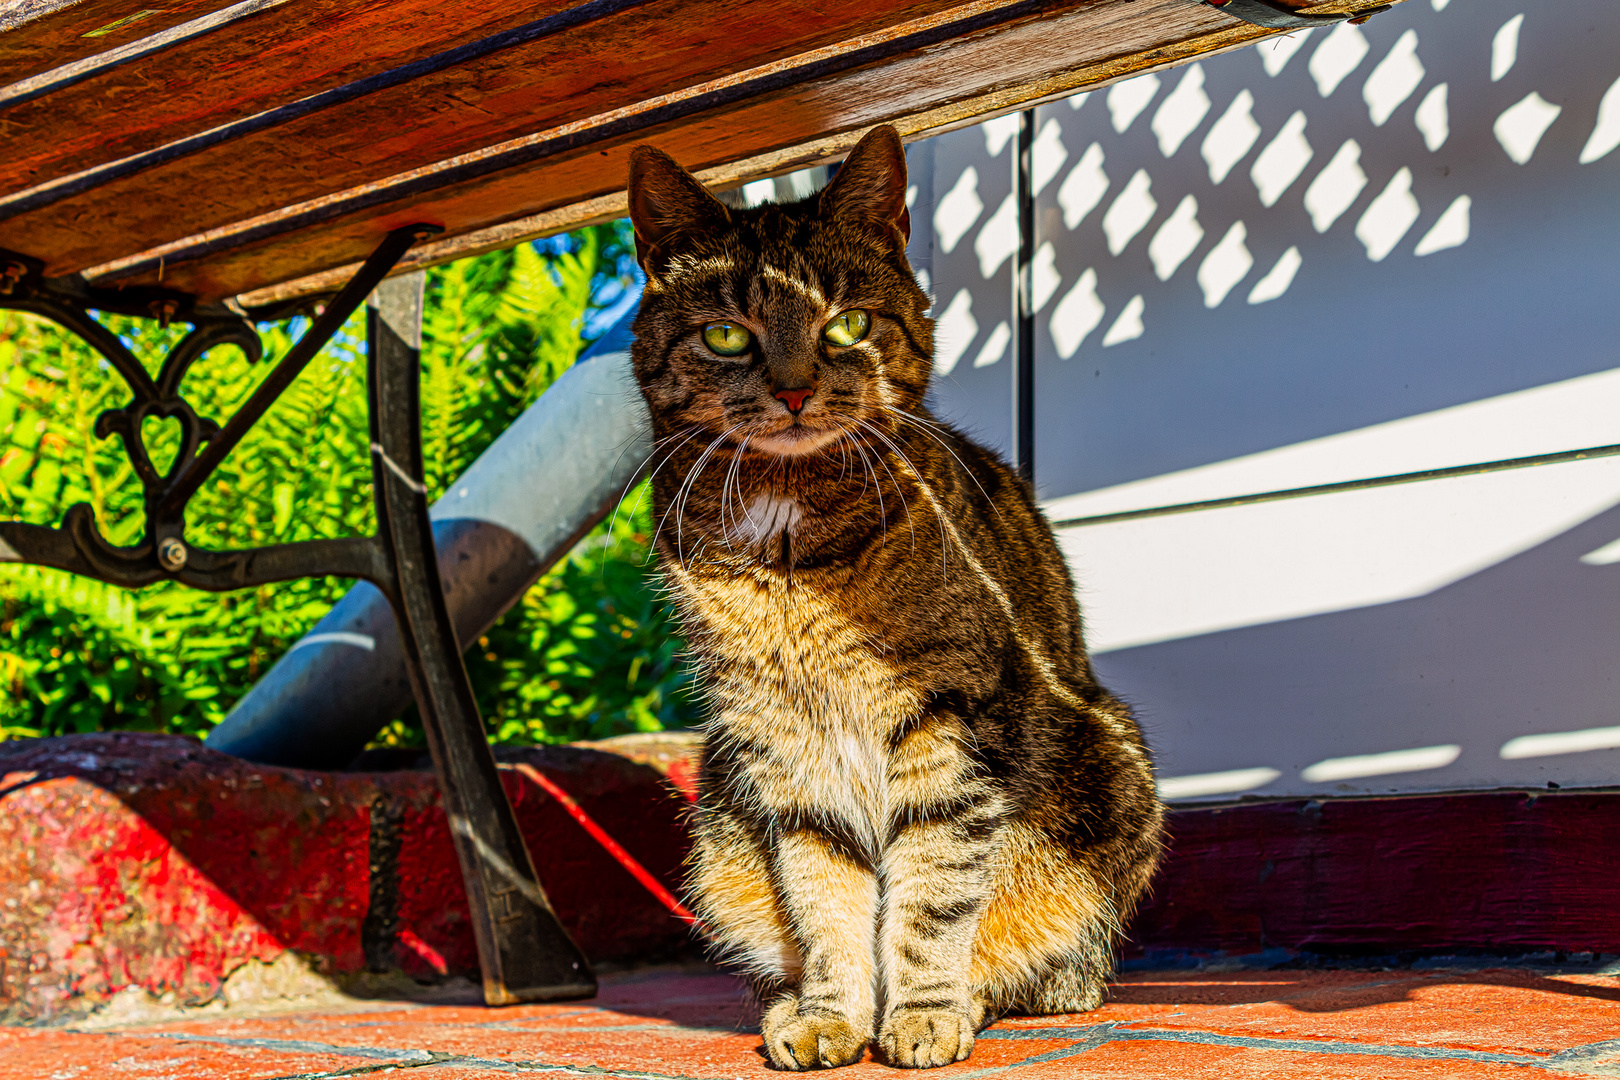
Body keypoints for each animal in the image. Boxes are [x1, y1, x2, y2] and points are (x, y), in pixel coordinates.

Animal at [622, 127, 1166, 1075]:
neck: (791, 540)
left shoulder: (950, 724)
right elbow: (824, 898)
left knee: (1059, 959)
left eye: (848, 323)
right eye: (726, 335)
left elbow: (931, 895)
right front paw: (830, 1014)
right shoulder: (781, 746)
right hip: (720, 816)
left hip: (1111, 770)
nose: (795, 390)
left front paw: (921, 1011)